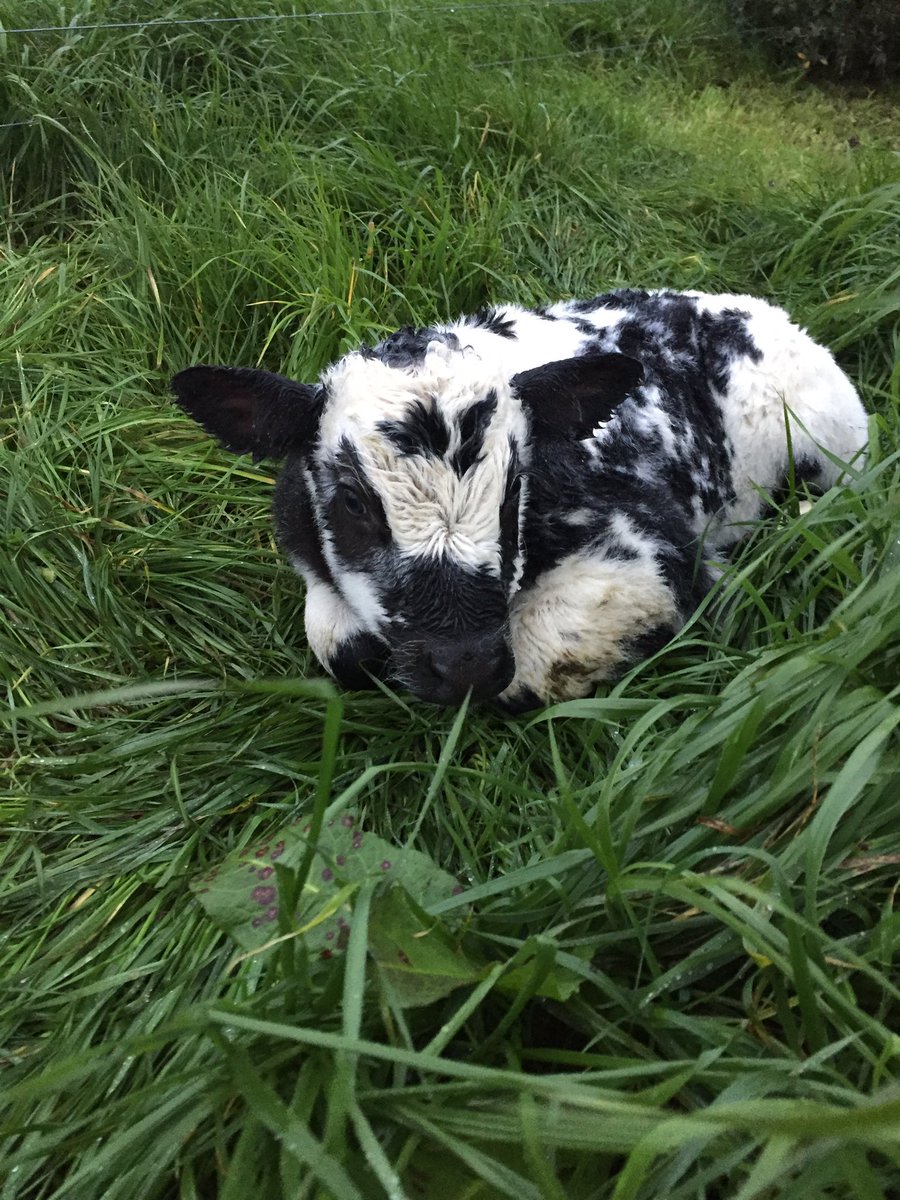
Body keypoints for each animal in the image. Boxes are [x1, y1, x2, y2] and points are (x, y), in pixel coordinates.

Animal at [171, 288, 867, 710]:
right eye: (352, 504)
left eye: (514, 493)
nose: (466, 665)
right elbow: (335, 640)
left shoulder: (655, 548)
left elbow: (540, 661)